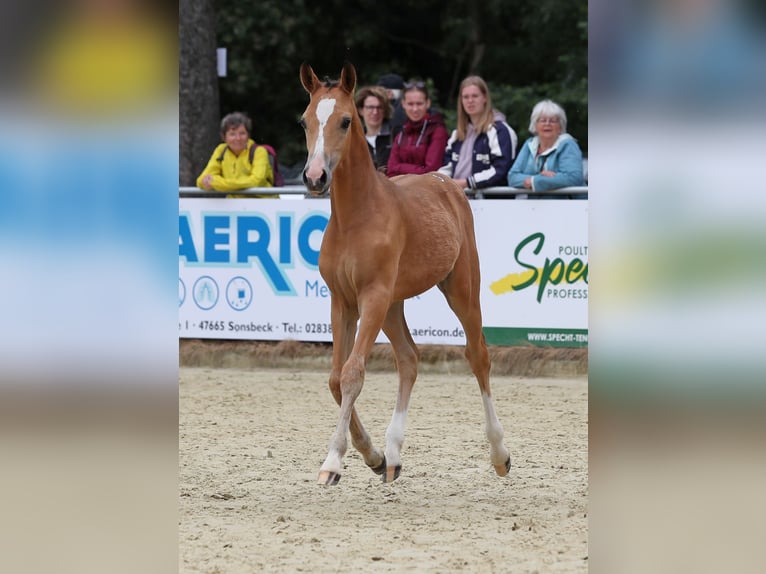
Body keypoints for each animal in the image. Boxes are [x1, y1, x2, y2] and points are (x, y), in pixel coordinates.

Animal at [298, 63, 510, 486]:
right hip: (393, 306)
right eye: (305, 121)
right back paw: (392, 455)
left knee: (477, 355)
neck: (355, 218)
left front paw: (333, 461)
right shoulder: (343, 301)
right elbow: (335, 378)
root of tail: (445, 182)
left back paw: (500, 454)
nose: (315, 177)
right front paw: (372, 455)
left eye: (346, 121)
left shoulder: (373, 296)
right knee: (409, 359)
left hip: (460, 288)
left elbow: (353, 374)